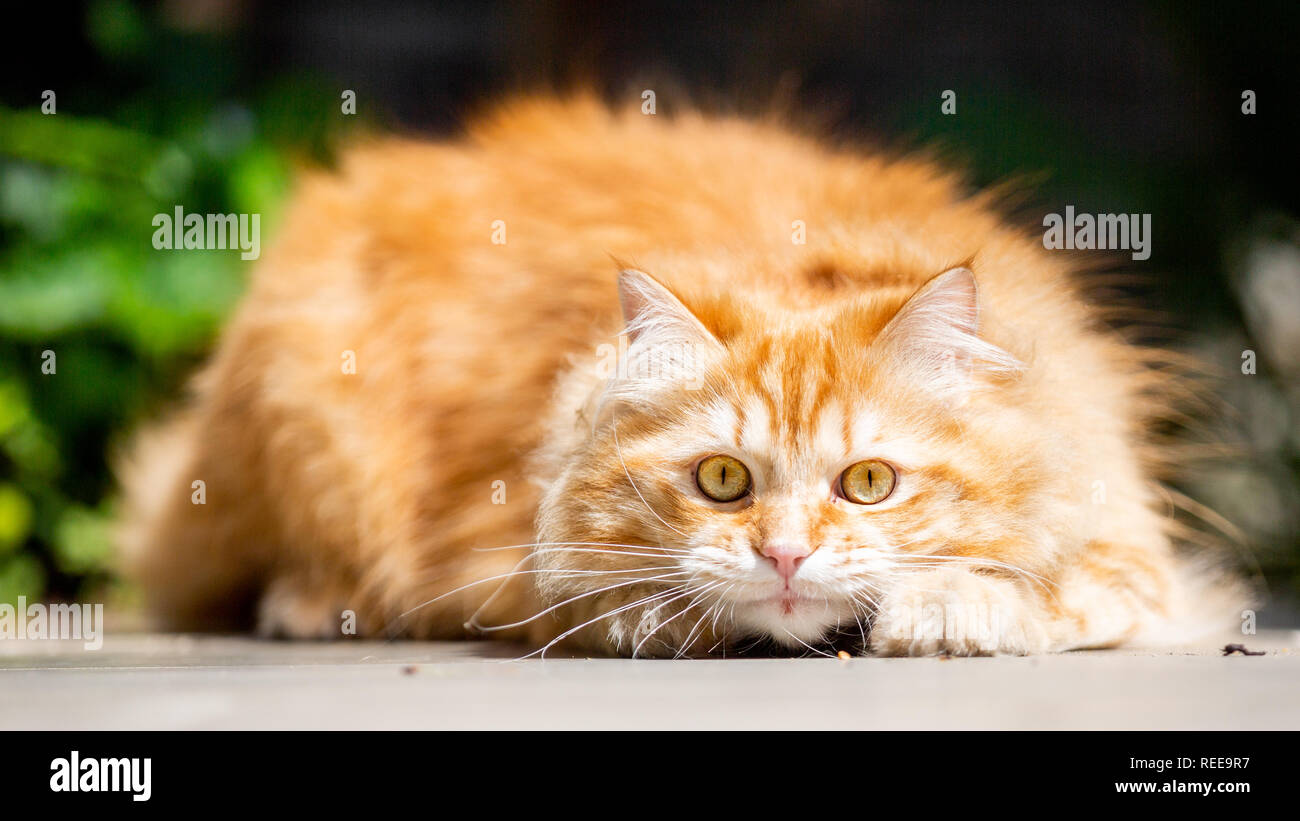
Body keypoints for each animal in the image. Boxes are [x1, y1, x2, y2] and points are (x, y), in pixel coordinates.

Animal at [119, 92, 1237, 657]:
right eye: (723, 480)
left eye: (868, 482)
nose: (784, 556)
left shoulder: (1129, 541)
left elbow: (1068, 584)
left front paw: (947, 609)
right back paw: (317, 602)